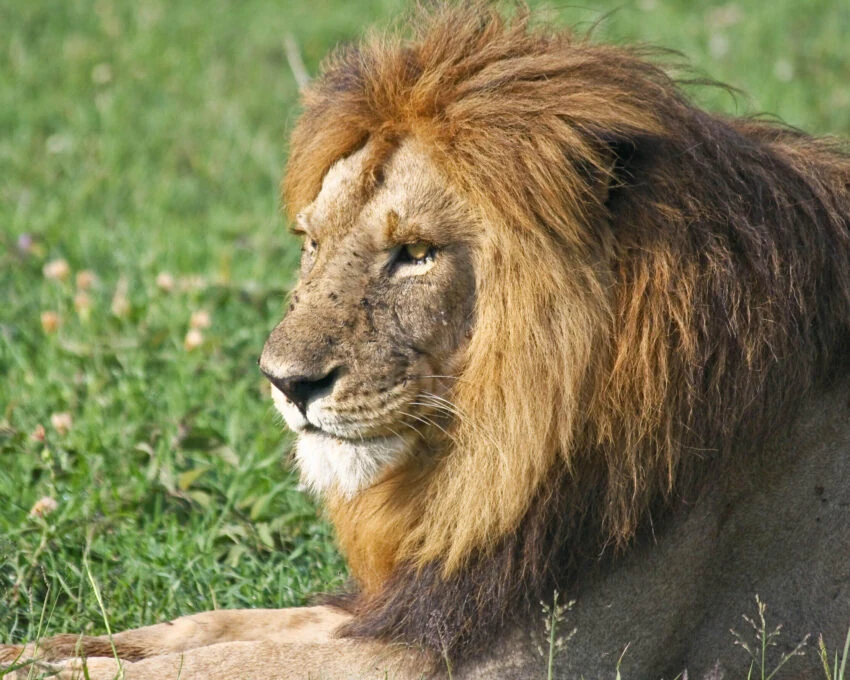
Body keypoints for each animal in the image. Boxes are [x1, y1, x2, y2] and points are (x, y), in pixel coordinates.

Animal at [4, 3, 850, 679]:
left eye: (416, 252)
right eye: (312, 242)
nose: (284, 382)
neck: (501, 445)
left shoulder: (533, 656)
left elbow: (225, 664)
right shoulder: (421, 605)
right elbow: (213, 629)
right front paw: (47, 649)